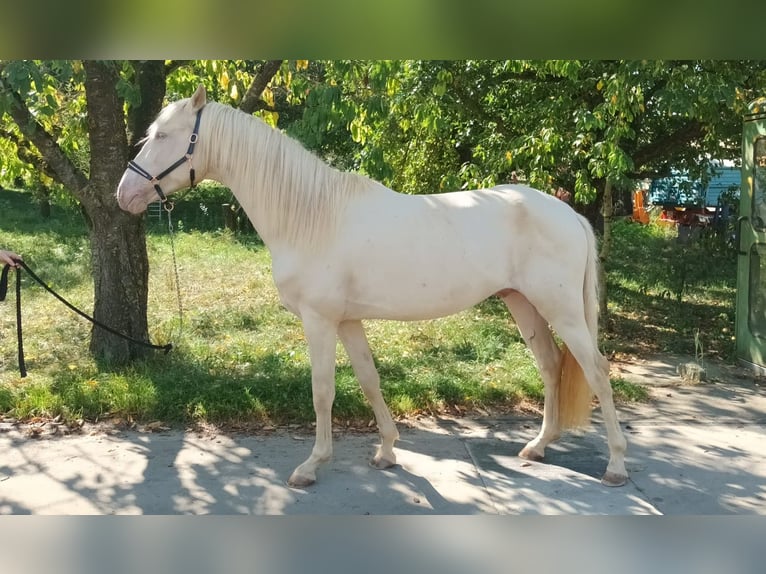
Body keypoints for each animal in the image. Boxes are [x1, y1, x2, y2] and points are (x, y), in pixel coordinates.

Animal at [117, 85, 628, 490]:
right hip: (522, 304)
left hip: (561, 309)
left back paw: (616, 466)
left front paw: (311, 466)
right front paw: (386, 451)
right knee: (550, 365)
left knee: (596, 370)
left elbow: (323, 390)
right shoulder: (348, 320)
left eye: (162, 136)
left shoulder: (320, 321)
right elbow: (368, 379)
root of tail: (570, 214)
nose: (125, 195)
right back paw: (538, 446)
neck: (312, 217)